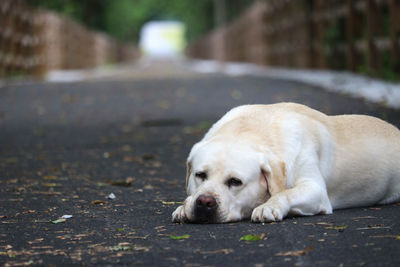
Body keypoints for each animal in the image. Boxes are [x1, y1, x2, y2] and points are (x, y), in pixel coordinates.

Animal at [171, 102, 400, 224]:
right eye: (200, 175)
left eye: (235, 182)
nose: (204, 202)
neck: (251, 130)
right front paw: (183, 207)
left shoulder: (316, 189)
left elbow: (286, 193)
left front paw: (268, 206)